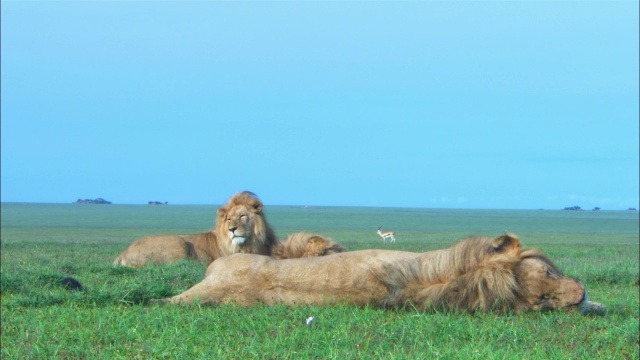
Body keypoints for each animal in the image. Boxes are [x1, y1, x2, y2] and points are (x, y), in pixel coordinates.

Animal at [112, 191, 278, 268]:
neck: (250, 242)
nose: (232, 229)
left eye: (242, 216)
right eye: (229, 219)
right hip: (179, 243)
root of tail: (124, 252)